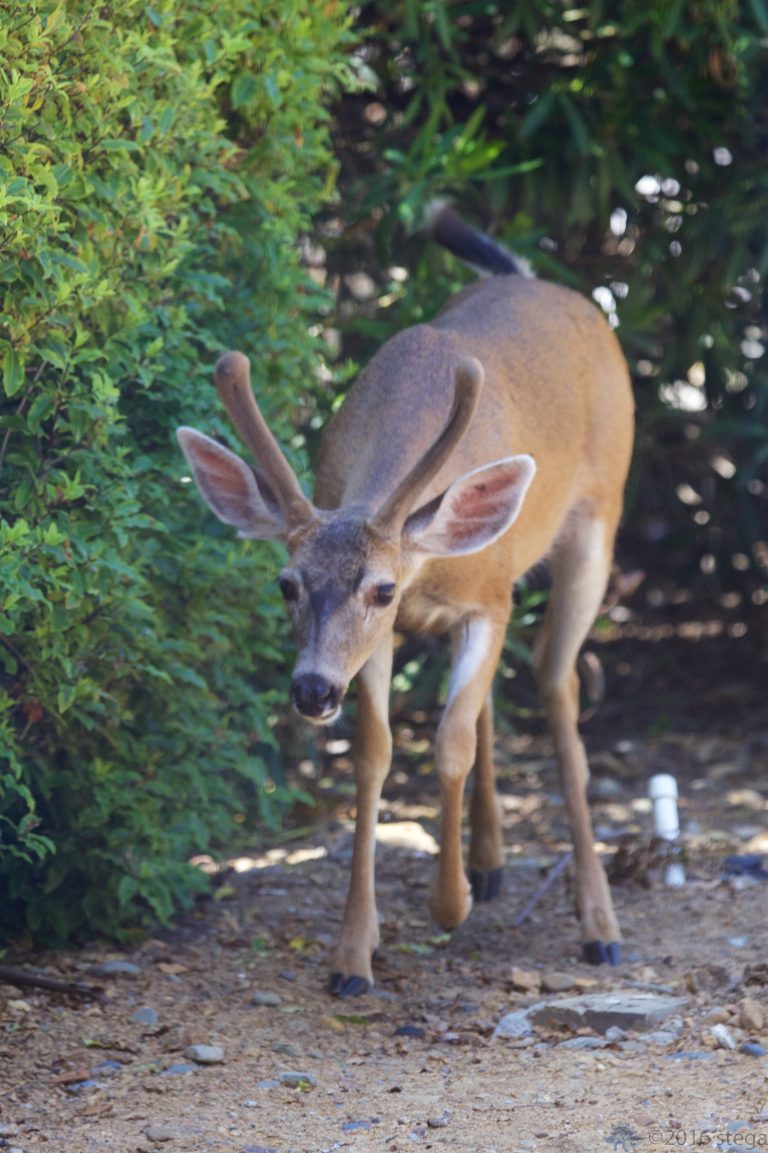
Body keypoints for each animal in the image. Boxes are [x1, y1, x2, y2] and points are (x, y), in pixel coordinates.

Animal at [177, 206, 635, 997]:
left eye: (382, 587)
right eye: (286, 583)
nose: (311, 689)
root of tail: (541, 281)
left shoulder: (483, 599)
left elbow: (448, 742)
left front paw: (447, 905)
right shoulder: (388, 636)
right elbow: (375, 750)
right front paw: (352, 954)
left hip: (598, 517)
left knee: (555, 680)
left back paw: (598, 922)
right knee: (499, 693)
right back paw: (491, 861)